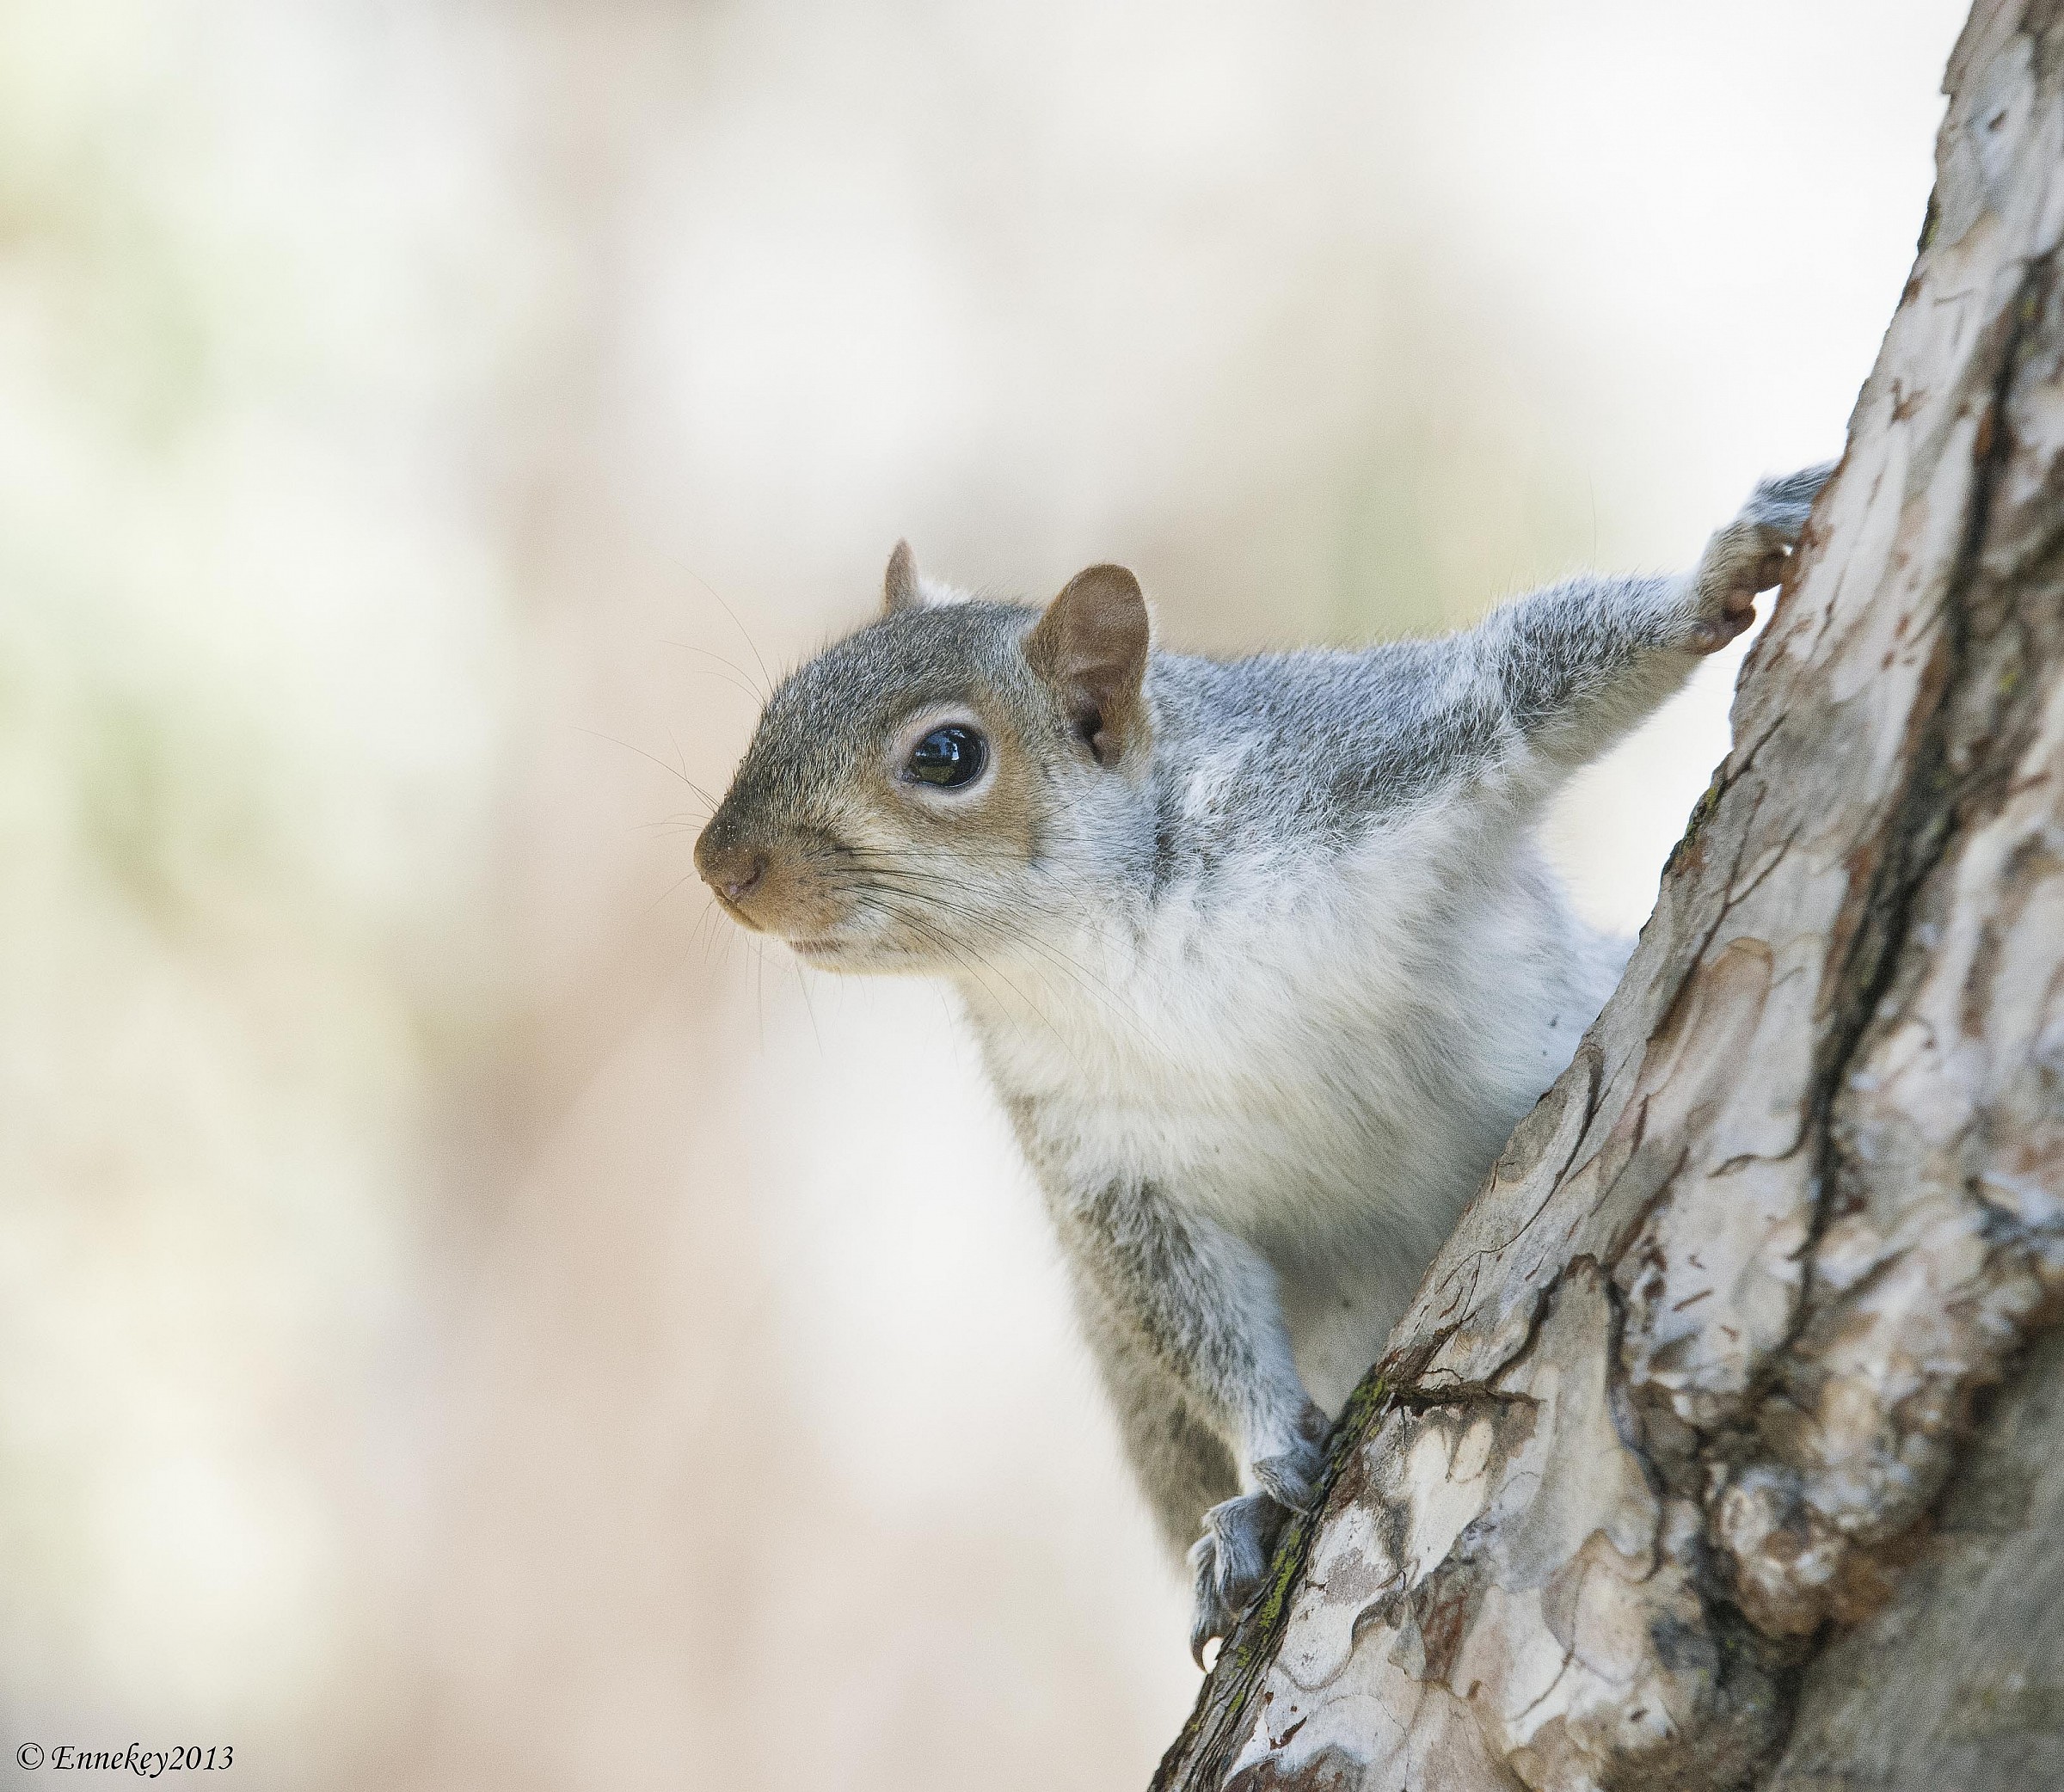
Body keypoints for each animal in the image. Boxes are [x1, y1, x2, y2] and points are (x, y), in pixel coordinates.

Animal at [694, 462, 1833, 1662]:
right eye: (782, 701)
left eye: (946, 755)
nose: (721, 866)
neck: (1100, 940)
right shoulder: (1103, 1156)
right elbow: (1186, 1308)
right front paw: (1268, 1456)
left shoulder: (1366, 758)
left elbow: (1521, 676)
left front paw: (1723, 569)